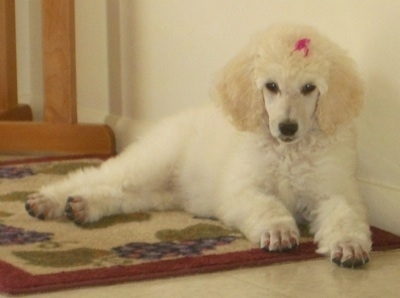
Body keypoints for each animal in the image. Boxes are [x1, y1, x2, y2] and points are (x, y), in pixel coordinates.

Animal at [26, 24, 372, 268]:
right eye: (271, 86)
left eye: (309, 88)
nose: (287, 127)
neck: (287, 150)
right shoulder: (240, 190)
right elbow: (267, 205)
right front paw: (278, 231)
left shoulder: (333, 190)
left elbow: (345, 215)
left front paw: (349, 245)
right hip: (152, 161)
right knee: (93, 176)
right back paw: (48, 200)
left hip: (161, 193)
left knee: (121, 196)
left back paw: (83, 206)